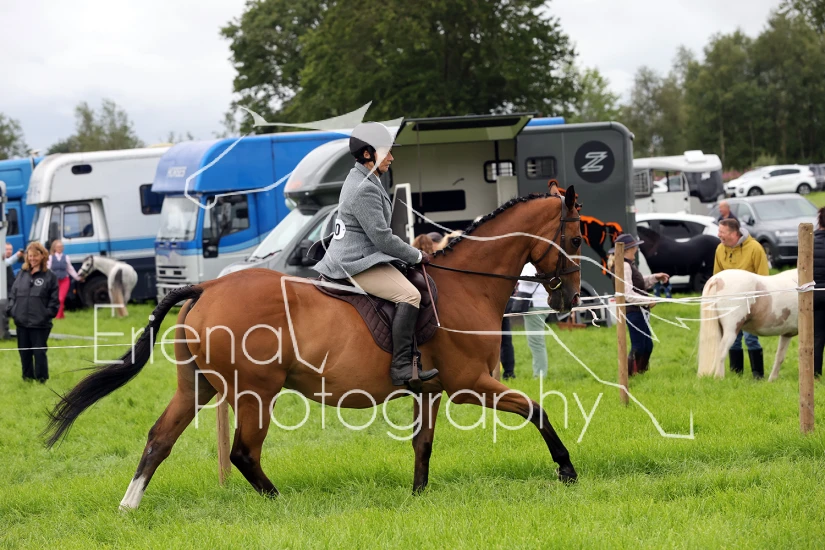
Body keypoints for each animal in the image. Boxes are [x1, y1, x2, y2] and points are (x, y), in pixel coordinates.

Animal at [44, 185, 584, 510]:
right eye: (577, 237)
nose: (569, 300)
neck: (465, 285)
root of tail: (208, 287)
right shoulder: (470, 384)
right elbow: (536, 411)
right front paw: (567, 470)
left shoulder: (430, 392)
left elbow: (423, 444)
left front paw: (417, 496)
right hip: (255, 393)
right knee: (243, 452)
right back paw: (278, 502)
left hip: (195, 386)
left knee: (160, 437)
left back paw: (129, 506)